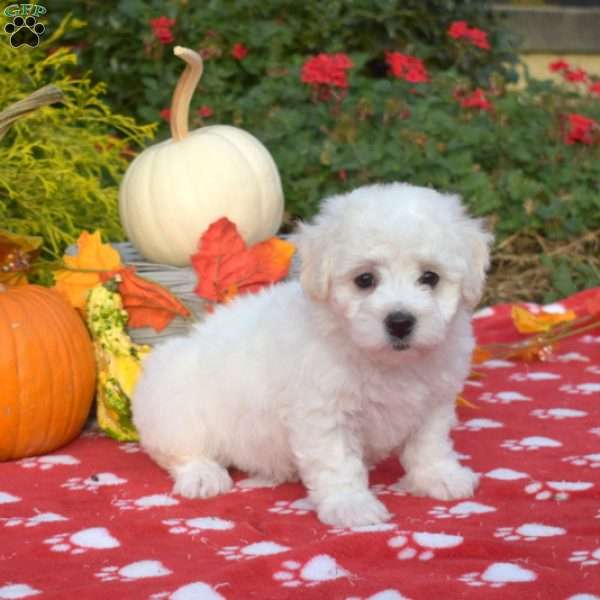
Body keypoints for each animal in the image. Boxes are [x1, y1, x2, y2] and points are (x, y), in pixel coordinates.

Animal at [134, 182, 494, 524]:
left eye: (430, 277)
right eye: (365, 279)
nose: (400, 321)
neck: (385, 360)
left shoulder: (435, 399)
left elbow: (429, 443)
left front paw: (440, 476)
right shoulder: (324, 411)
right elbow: (338, 462)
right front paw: (351, 505)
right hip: (173, 401)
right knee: (178, 449)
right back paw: (203, 475)